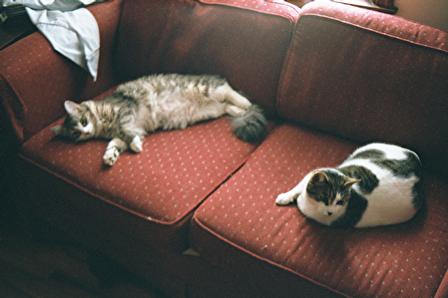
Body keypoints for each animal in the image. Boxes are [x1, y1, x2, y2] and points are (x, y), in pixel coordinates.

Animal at [54, 73, 268, 166]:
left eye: (83, 121)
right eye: (75, 134)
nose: (85, 132)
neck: (103, 126)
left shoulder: (125, 113)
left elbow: (127, 134)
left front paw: (136, 146)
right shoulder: (123, 132)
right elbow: (115, 144)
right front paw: (109, 157)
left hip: (207, 87)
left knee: (232, 92)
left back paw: (247, 103)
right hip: (215, 110)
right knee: (230, 107)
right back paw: (241, 110)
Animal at [272, 143, 424, 228]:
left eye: (340, 202)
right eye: (325, 198)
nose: (330, 212)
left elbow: (300, 196)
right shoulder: (314, 174)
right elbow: (298, 186)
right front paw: (284, 197)